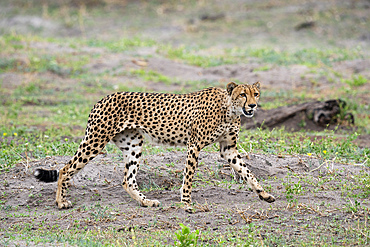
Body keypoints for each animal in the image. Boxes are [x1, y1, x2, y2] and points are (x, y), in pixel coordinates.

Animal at [35, 82, 274, 208]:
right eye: (242, 94)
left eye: (256, 94)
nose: (253, 105)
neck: (230, 109)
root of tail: (104, 97)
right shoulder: (194, 145)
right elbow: (189, 176)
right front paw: (186, 203)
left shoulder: (228, 149)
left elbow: (248, 172)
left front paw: (263, 194)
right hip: (95, 141)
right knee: (66, 169)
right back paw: (61, 202)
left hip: (133, 144)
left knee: (127, 180)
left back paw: (147, 202)